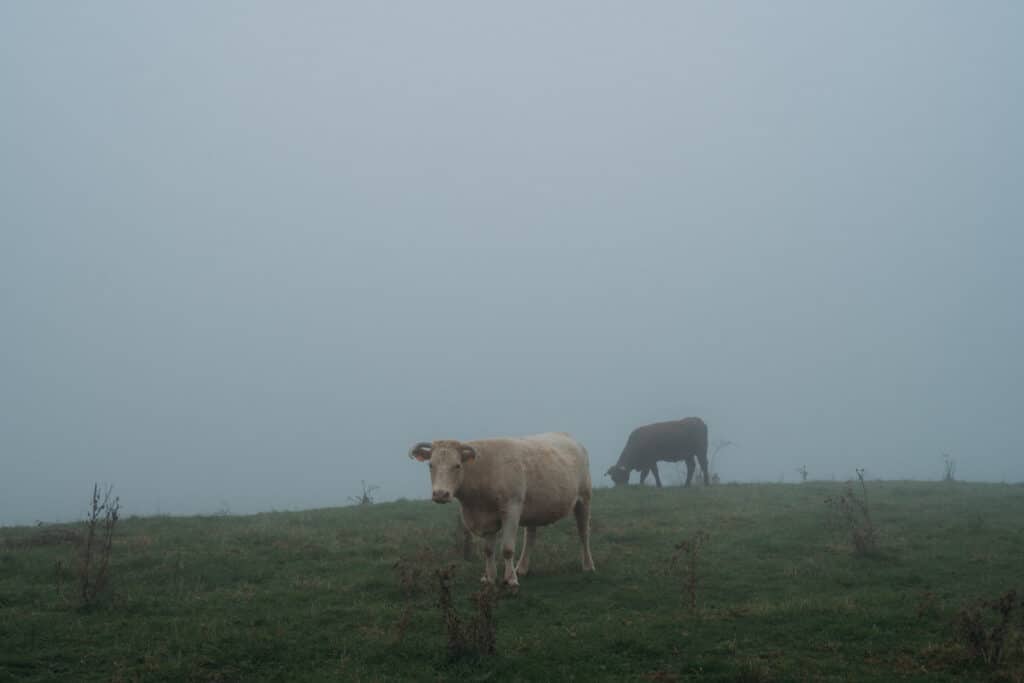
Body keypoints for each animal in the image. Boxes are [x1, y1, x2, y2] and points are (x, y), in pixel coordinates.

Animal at [407, 432, 598, 589]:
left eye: (457, 465)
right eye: (430, 465)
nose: (440, 494)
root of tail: (567, 437)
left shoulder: (511, 508)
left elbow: (507, 548)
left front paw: (510, 579)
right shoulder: (486, 518)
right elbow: (488, 550)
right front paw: (490, 578)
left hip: (584, 499)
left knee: (583, 533)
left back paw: (588, 565)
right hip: (534, 507)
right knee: (530, 537)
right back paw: (522, 568)